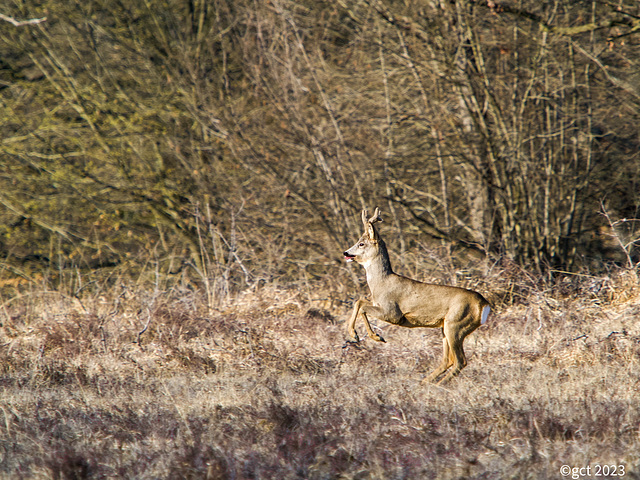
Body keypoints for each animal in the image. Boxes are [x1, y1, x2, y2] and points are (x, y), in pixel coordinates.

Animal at [344, 208, 490, 384]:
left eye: (361, 243)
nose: (346, 252)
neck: (381, 283)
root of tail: (484, 304)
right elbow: (359, 302)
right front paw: (360, 335)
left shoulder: (392, 313)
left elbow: (362, 306)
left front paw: (370, 336)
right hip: (446, 328)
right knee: (448, 360)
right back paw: (425, 383)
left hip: (456, 324)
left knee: (460, 361)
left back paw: (438, 385)